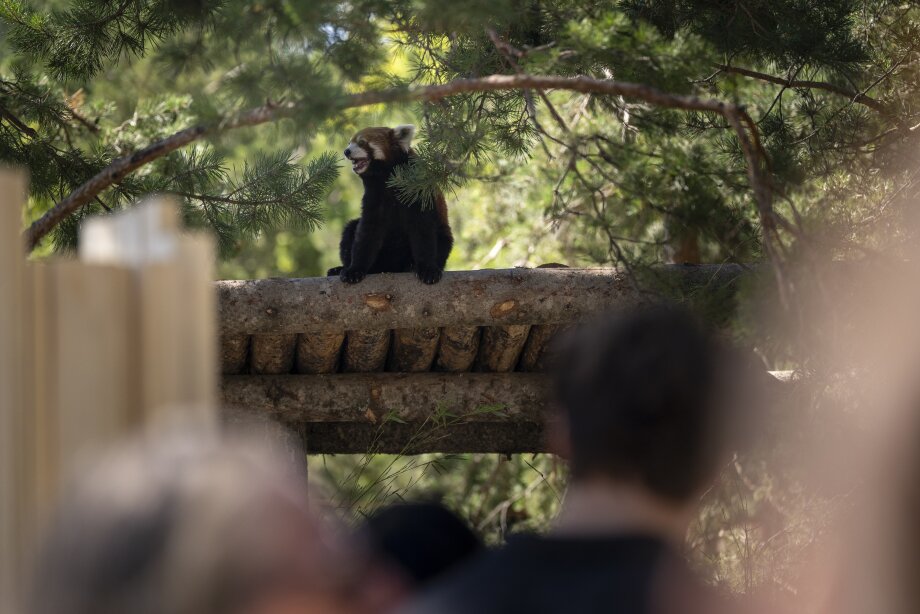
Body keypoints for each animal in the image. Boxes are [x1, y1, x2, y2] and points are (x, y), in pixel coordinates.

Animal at [326, 125, 454, 285]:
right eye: (350, 143)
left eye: (362, 142)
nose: (346, 151)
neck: (386, 177)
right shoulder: (374, 196)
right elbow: (367, 232)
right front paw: (354, 270)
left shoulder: (416, 189)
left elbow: (423, 230)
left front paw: (428, 269)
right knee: (350, 229)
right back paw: (340, 269)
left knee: (443, 240)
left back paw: (409, 266)